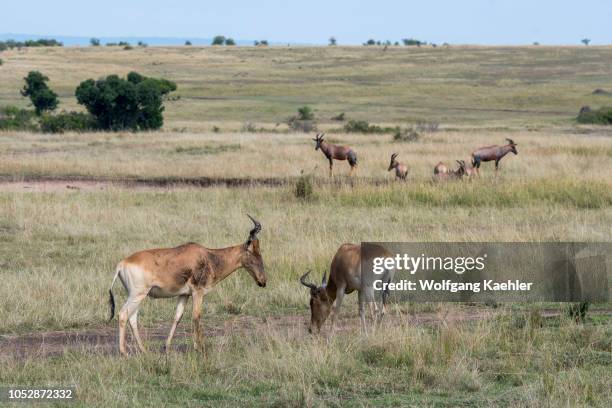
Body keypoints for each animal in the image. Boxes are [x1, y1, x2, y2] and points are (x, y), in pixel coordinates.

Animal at [109, 215, 266, 356]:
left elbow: (177, 317)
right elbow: (196, 316)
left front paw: (167, 347)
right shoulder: (198, 292)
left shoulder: (184, 294)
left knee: (132, 318)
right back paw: (123, 352)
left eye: (260, 253)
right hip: (137, 295)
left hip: (137, 296)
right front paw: (200, 348)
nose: (262, 282)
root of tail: (122, 264)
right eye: (253, 254)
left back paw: (144, 350)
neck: (208, 256)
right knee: (123, 315)